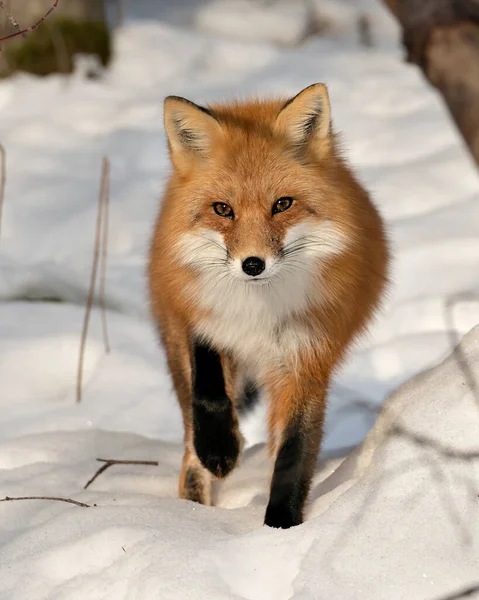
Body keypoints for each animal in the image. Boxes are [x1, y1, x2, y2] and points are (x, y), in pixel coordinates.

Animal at [149, 82, 390, 528]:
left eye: (282, 204)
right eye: (222, 209)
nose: (252, 264)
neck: (256, 312)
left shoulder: (306, 358)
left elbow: (295, 451)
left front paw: (281, 525)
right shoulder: (195, 315)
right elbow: (208, 393)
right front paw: (219, 449)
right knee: (189, 438)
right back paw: (193, 503)